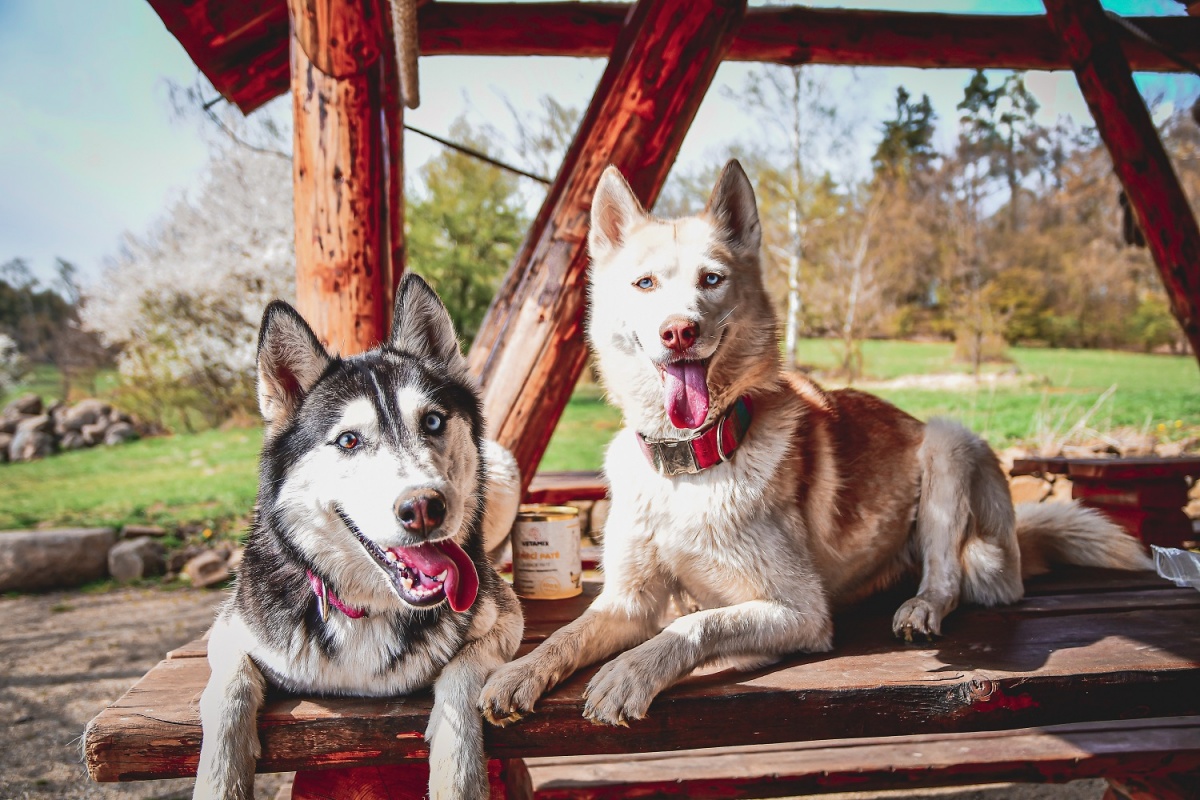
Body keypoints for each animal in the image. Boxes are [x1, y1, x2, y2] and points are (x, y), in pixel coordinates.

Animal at [194, 273, 523, 800]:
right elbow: (228, 689)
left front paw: (459, 775)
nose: (424, 508)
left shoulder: (506, 619)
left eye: (433, 421)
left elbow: (463, 674)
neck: (368, 607)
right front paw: (219, 779)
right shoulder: (229, 632)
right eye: (348, 440)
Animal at [480, 159, 1152, 729]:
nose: (679, 332)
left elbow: (695, 627)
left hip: (948, 445)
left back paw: (921, 606)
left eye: (711, 280)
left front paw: (630, 672)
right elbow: (566, 636)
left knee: (949, 575)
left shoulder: (800, 612)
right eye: (644, 283)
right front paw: (518, 673)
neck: (689, 465)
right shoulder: (625, 603)